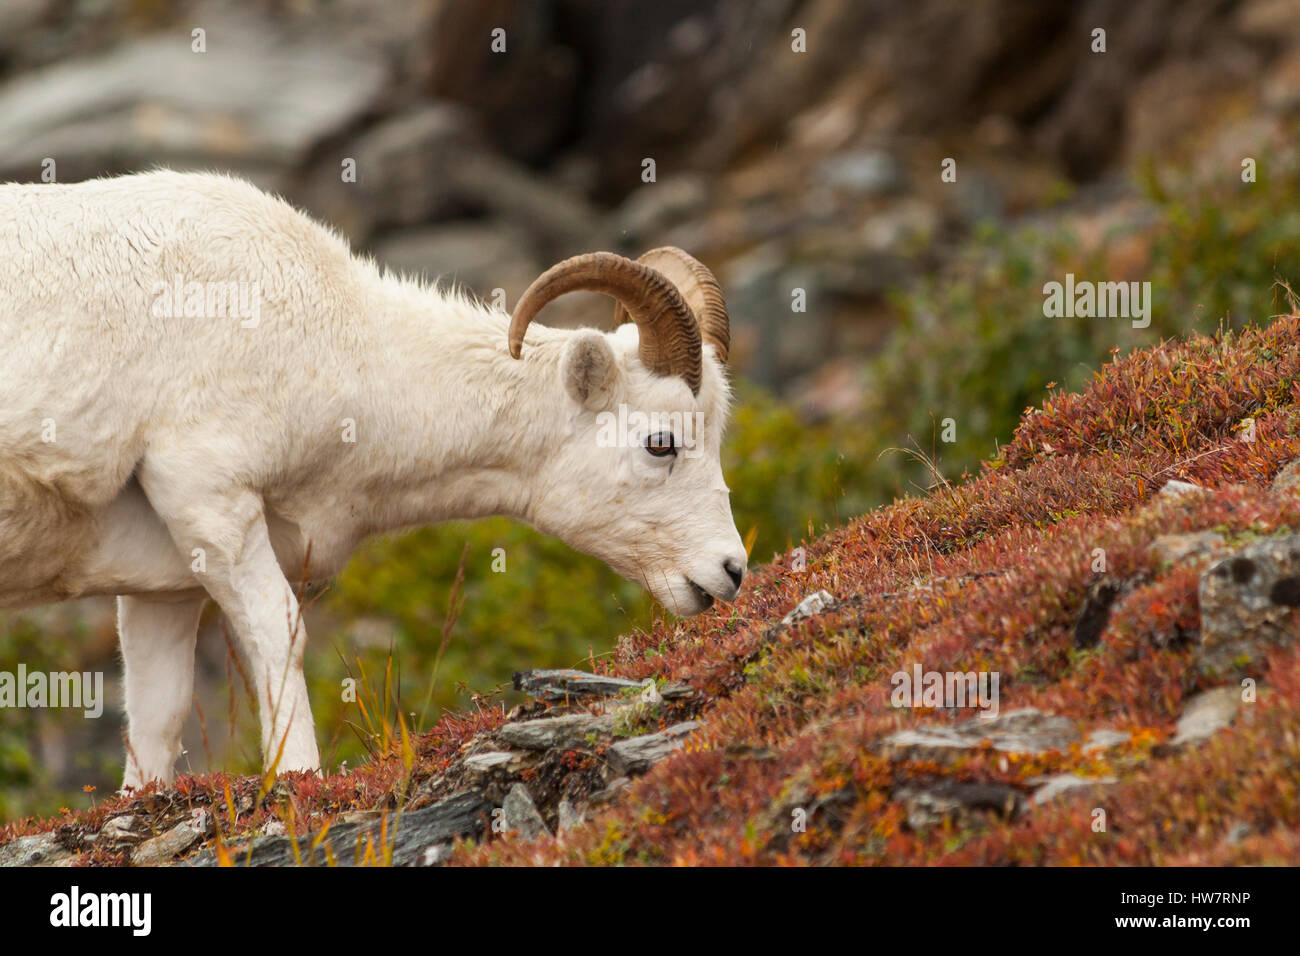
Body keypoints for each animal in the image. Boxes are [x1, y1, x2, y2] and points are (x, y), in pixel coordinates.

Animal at [0, 170, 747, 788]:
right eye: (660, 443)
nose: (731, 571)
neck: (340, 344)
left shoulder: (166, 587)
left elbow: (157, 716)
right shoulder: (207, 498)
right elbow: (280, 636)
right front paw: (298, 780)